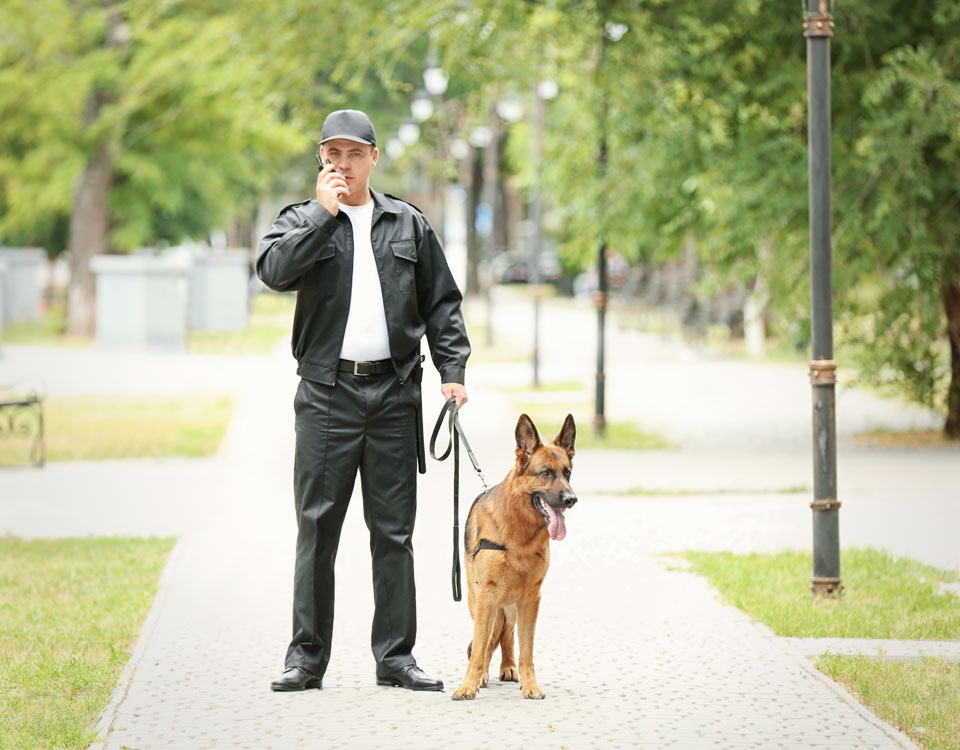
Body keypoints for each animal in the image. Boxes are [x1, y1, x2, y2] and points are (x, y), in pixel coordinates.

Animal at [452, 414, 576, 704]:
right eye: (546, 473)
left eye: (567, 473)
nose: (571, 499)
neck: (519, 531)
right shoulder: (487, 596)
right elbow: (479, 646)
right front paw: (469, 685)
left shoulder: (531, 598)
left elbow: (526, 648)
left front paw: (530, 684)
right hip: (478, 600)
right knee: (488, 638)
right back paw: (484, 675)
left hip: (510, 604)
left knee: (506, 634)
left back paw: (507, 666)